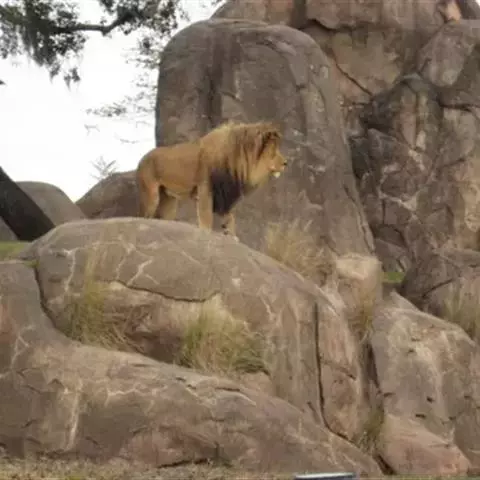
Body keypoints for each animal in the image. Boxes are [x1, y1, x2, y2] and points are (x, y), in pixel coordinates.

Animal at [136, 120, 288, 239]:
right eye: (274, 151)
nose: (286, 163)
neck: (237, 161)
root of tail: (142, 159)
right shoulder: (205, 188)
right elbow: (206, 217)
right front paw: (207, 232)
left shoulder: (225, 193)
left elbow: (230, 218)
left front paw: (232, 236)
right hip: (151, 196)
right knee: (143, 216)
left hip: (169, 200)